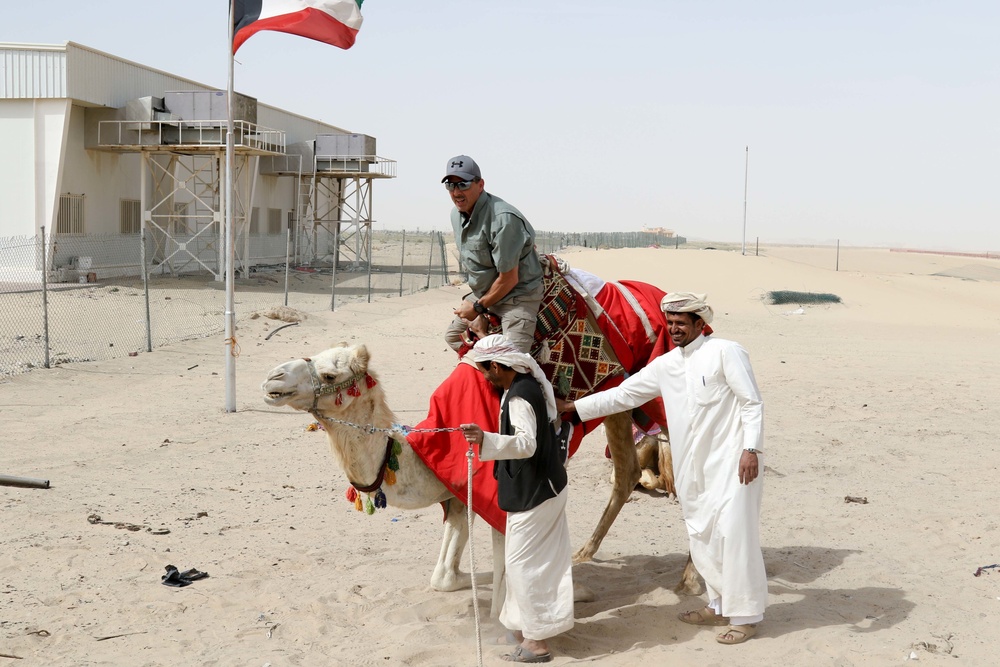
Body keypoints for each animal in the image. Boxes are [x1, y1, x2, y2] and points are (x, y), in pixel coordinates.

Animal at [262, 342, 700, 612]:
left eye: (330, 375)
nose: (272, 379)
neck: (420, 449)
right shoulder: (457, 494)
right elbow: (443, 577)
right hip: (620, 408)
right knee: (625, 474)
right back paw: (585, 554)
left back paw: (692, 580)